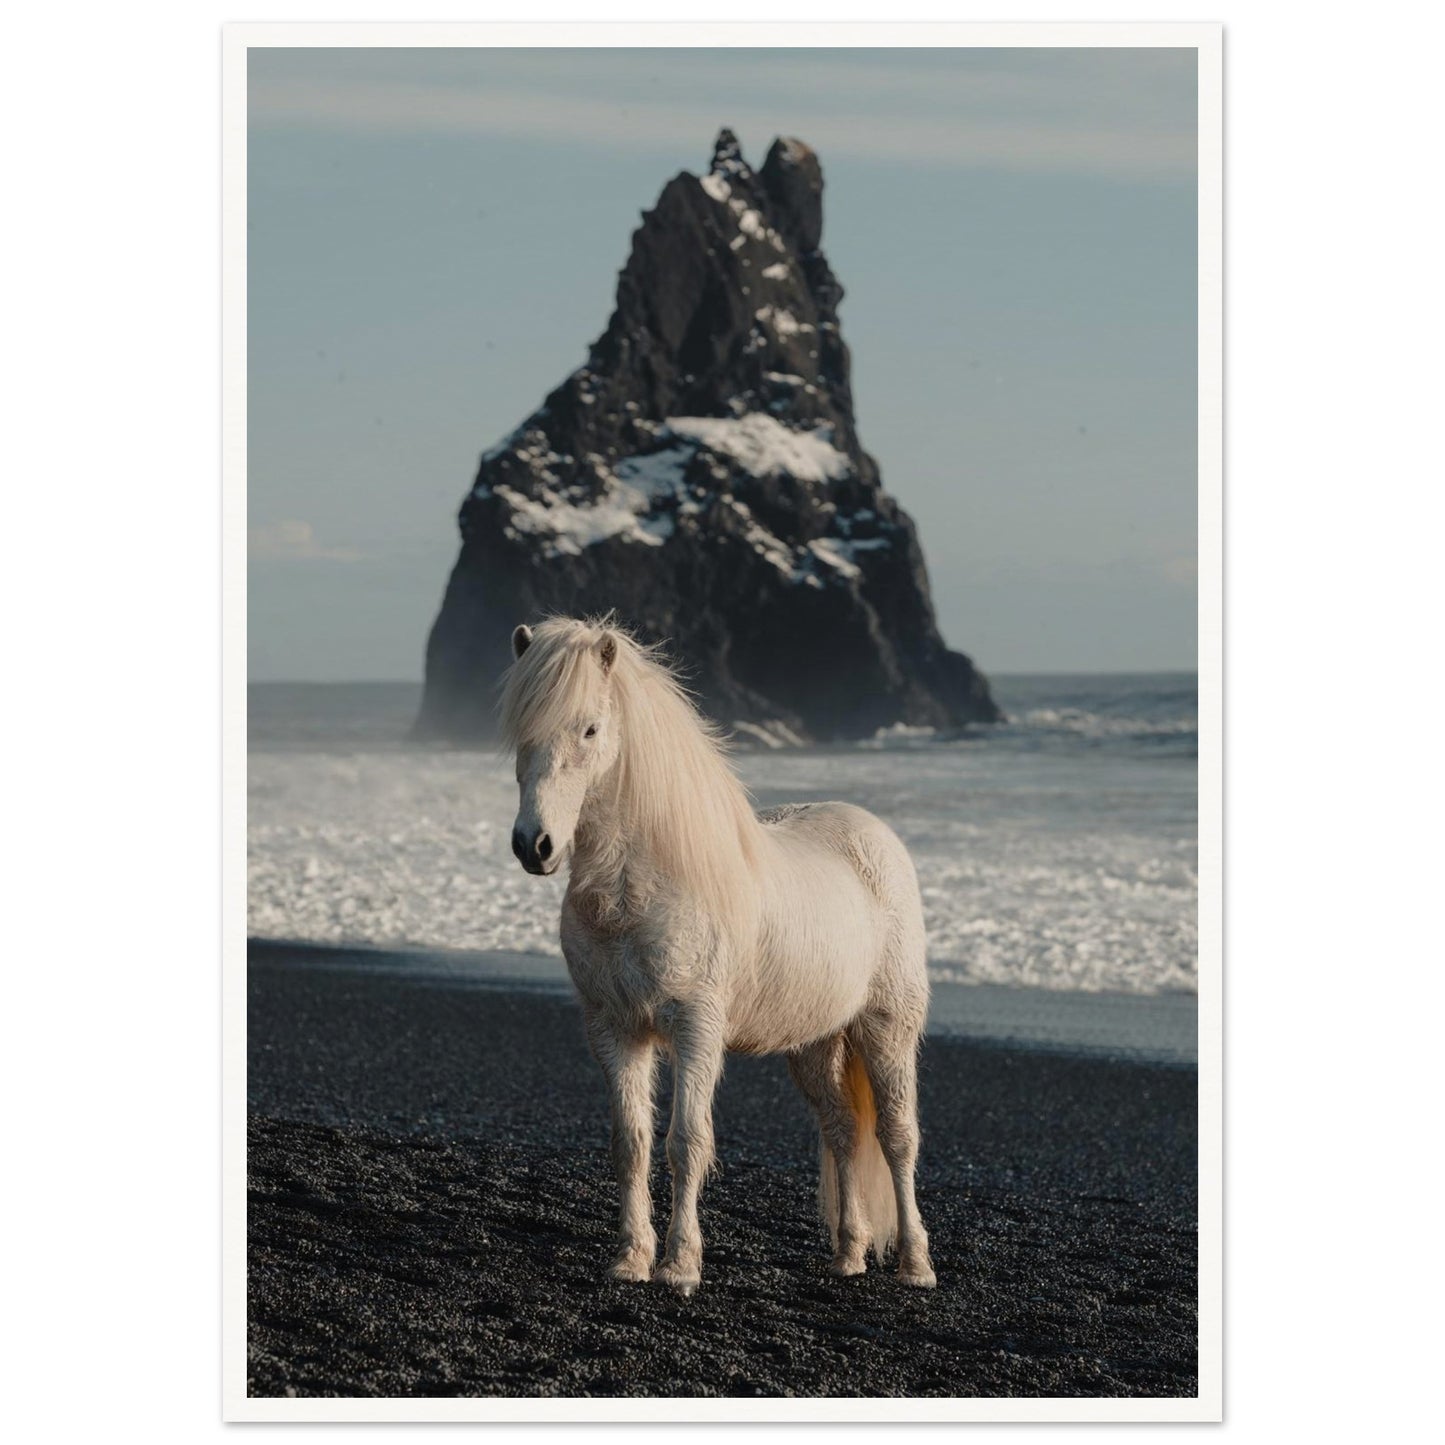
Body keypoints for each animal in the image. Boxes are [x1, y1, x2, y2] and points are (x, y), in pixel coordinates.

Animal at [500, 616, 936, 1295]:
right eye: (523, 730)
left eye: (590, 729)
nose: (534, 845)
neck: (645, 886)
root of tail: (874, 834)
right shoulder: (614, 1030)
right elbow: (632, 1143)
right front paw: (631, 1260)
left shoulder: (696, 1028)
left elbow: (686, 1141)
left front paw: (680, 1266)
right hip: (814, 1043)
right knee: (841, 1130)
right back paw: (848, 1254)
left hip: (886, 1027)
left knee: (896, 1138)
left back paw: (916, 1265)